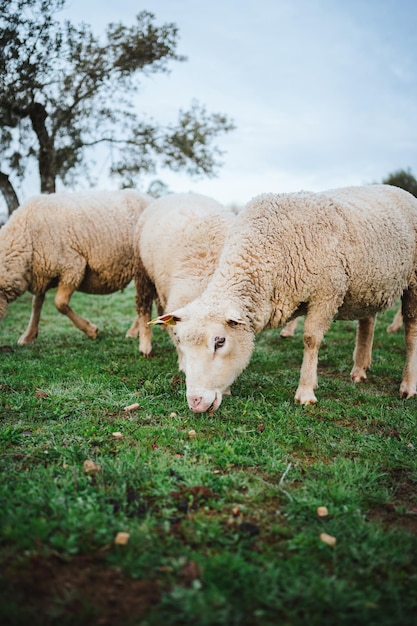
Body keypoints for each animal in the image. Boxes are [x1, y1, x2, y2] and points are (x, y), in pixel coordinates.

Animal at [0, 188, 151, 344]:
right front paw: (28, 336)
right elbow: (36, 304)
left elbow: (60, 303)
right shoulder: (41, 272)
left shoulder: (73, 266)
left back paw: (133, 331)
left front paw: (91, 330)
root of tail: (150, 198)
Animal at [134, 190, 237, 358]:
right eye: (177, 338)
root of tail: (180, 194)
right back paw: (145, 346)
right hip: (142, 271)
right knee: (143, 305)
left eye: (219, 341)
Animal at [151, 183, 416, 412]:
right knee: (368, 321)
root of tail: (396, 189)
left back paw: (408, 386)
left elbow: (311, 340)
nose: (195, 402)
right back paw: (360, 369)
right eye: (180, 342)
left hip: (412, 283)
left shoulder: (327, 293)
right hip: (368, 286)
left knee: (411, 333)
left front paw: (306, 392)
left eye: (220, 342)